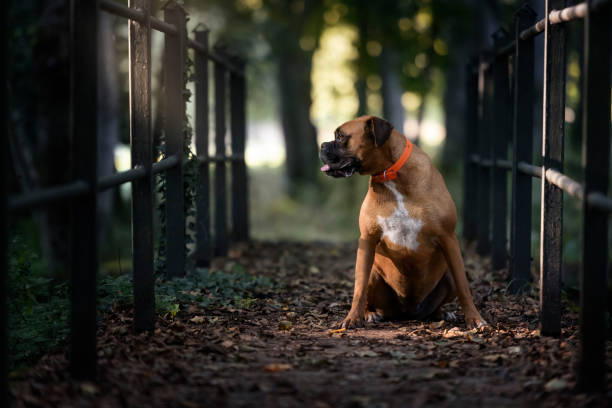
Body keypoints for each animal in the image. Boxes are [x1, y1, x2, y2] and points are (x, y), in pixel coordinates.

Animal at [320, 115, 488, 328]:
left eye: (341, 137)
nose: (322, 145)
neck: (391, 176)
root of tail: (407, 313)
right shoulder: (367, 241)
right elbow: (359, 289)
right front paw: (352, 318)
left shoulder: (448, 238)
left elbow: (464, 287)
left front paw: (475, 319)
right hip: (373, 272)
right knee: (367, 293)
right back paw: (370, 314)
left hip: (447, 274)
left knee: (442, 299)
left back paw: (442, 313)